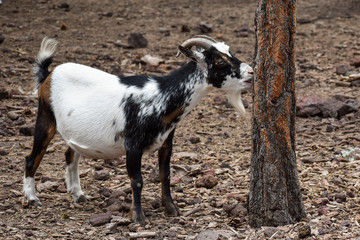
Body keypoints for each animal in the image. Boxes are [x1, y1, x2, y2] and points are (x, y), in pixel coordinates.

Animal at [23, 35, 253, 225]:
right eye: (220, 61)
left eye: (230, 52)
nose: (251, 72)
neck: (161, 96)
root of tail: (48, 74)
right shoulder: (132, 145)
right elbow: (137, 180)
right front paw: (138, 217)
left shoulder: (167, 141)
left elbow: (165, 174)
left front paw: (171, 210)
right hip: (45, 117)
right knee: (32, 157)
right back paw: (32, 198)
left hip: (74, 132)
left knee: (71, 155)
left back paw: (78, 194)